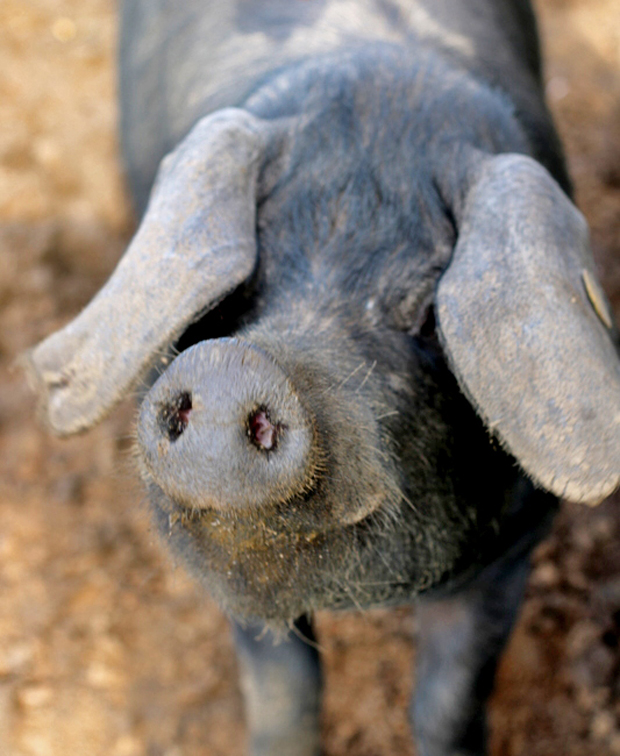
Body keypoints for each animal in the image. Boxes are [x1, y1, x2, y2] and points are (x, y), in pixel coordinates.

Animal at [24, 1, 620, 754]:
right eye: (244, 280)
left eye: (427, 310)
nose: (233, 364)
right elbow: (286, 695)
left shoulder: (515, 546)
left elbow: (448, 701)